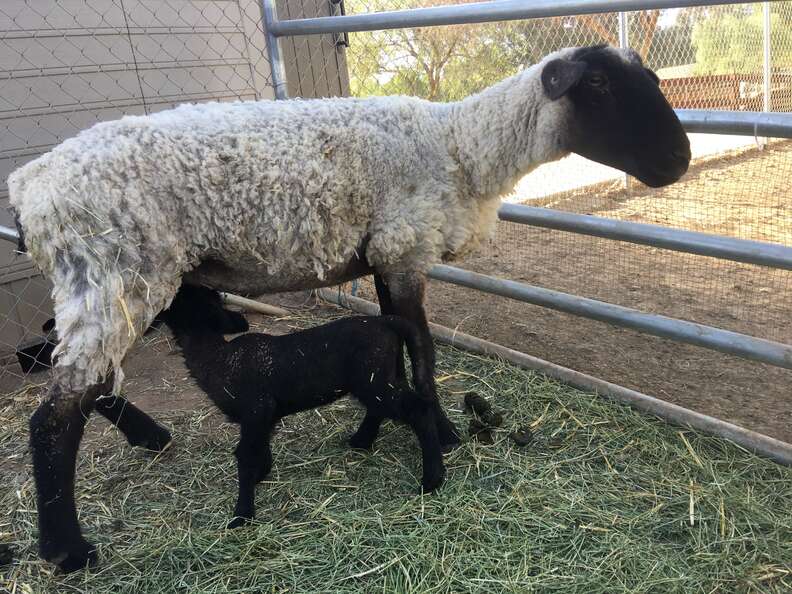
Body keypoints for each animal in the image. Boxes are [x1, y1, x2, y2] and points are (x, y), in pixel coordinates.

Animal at [159, 285, 446, 527]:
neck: (219, 359)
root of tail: (386, 321)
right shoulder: (264, 415)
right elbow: (260, 447)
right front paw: (261, 475)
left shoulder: (256, 408)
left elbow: (245, 455)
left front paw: (242, 514)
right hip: (379, 375)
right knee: (381, 408)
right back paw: (361, 441)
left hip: (374, 378)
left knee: (417, 409)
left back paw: (432, 479)